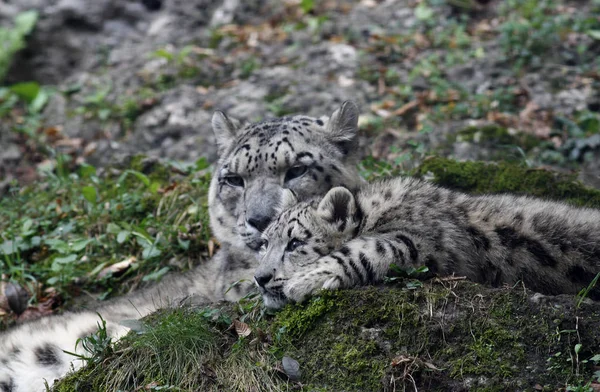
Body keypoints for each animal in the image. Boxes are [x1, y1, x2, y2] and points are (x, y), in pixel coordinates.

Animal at [255, 178, 600, 310]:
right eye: (264, 243)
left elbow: (369, 249)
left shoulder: (422, 241)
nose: (260, 277)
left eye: (295, 242)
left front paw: (307, 279)